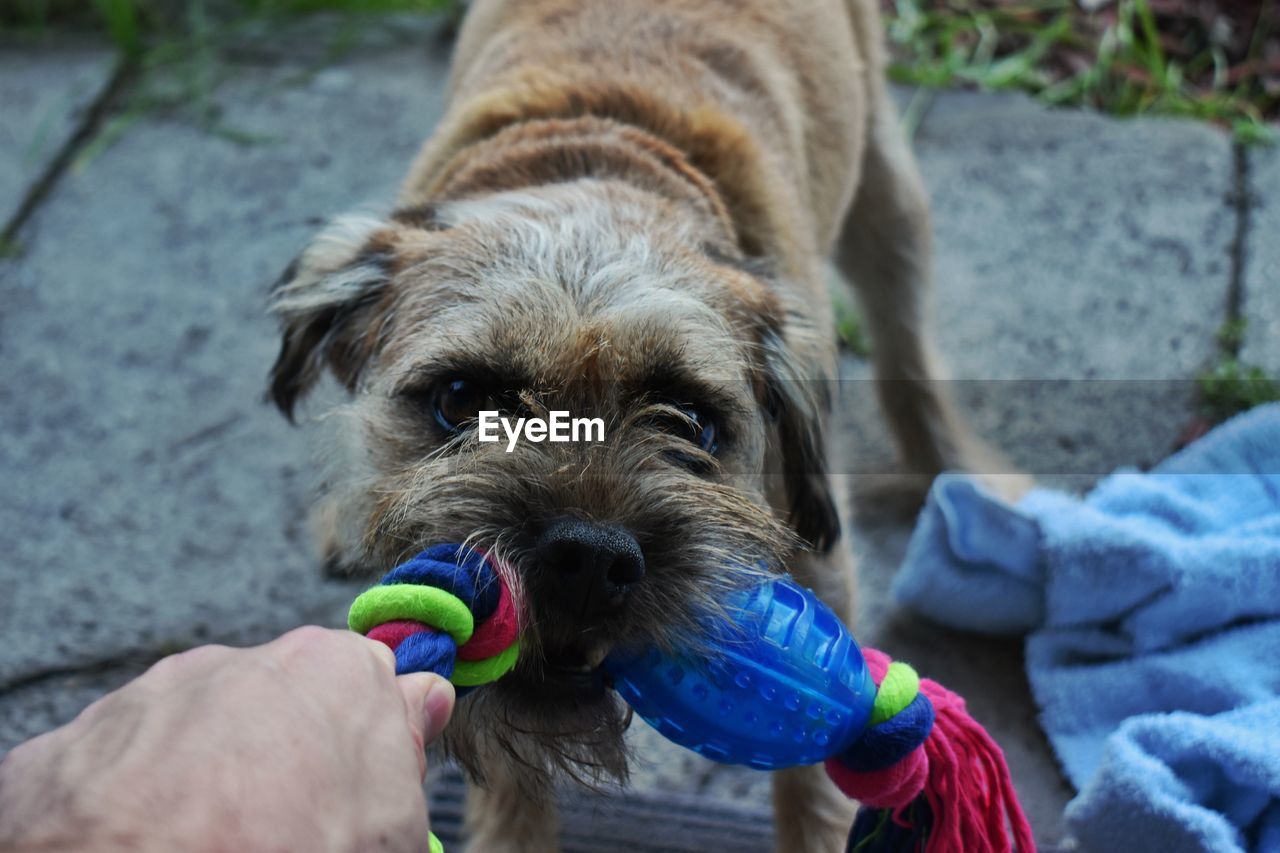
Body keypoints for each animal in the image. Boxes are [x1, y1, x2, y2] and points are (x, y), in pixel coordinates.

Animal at [270, 3, 1008, 845]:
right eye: (460, 398)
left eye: (691, 422)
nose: (590, 557)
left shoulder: (819, 561)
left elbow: (814, 781)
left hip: (888, 189)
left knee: (904, 339)